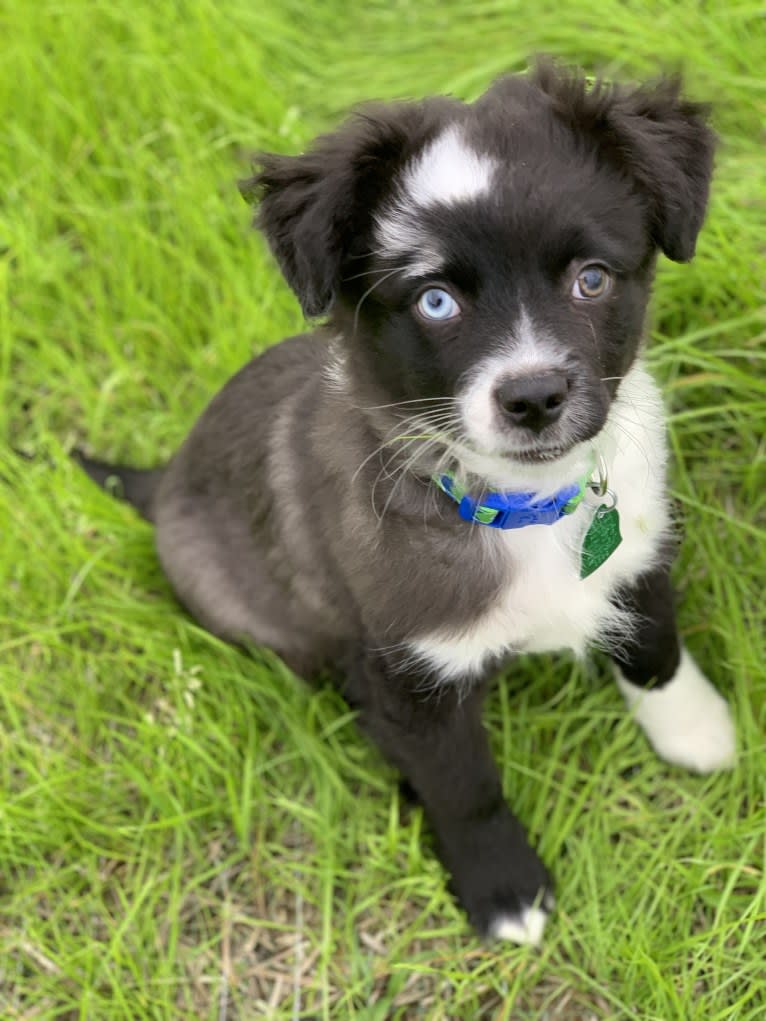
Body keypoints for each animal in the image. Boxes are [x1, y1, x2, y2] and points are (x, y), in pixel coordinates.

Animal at [78, 59, 739, 943]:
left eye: (591, 278)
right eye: (435, 300)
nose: (534, 397)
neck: (523, 503)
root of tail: (167, 474)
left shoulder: (637, 552)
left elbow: (656, 649)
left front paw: (697, 729)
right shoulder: (408, 669)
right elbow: (463, 786)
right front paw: (505, 890)